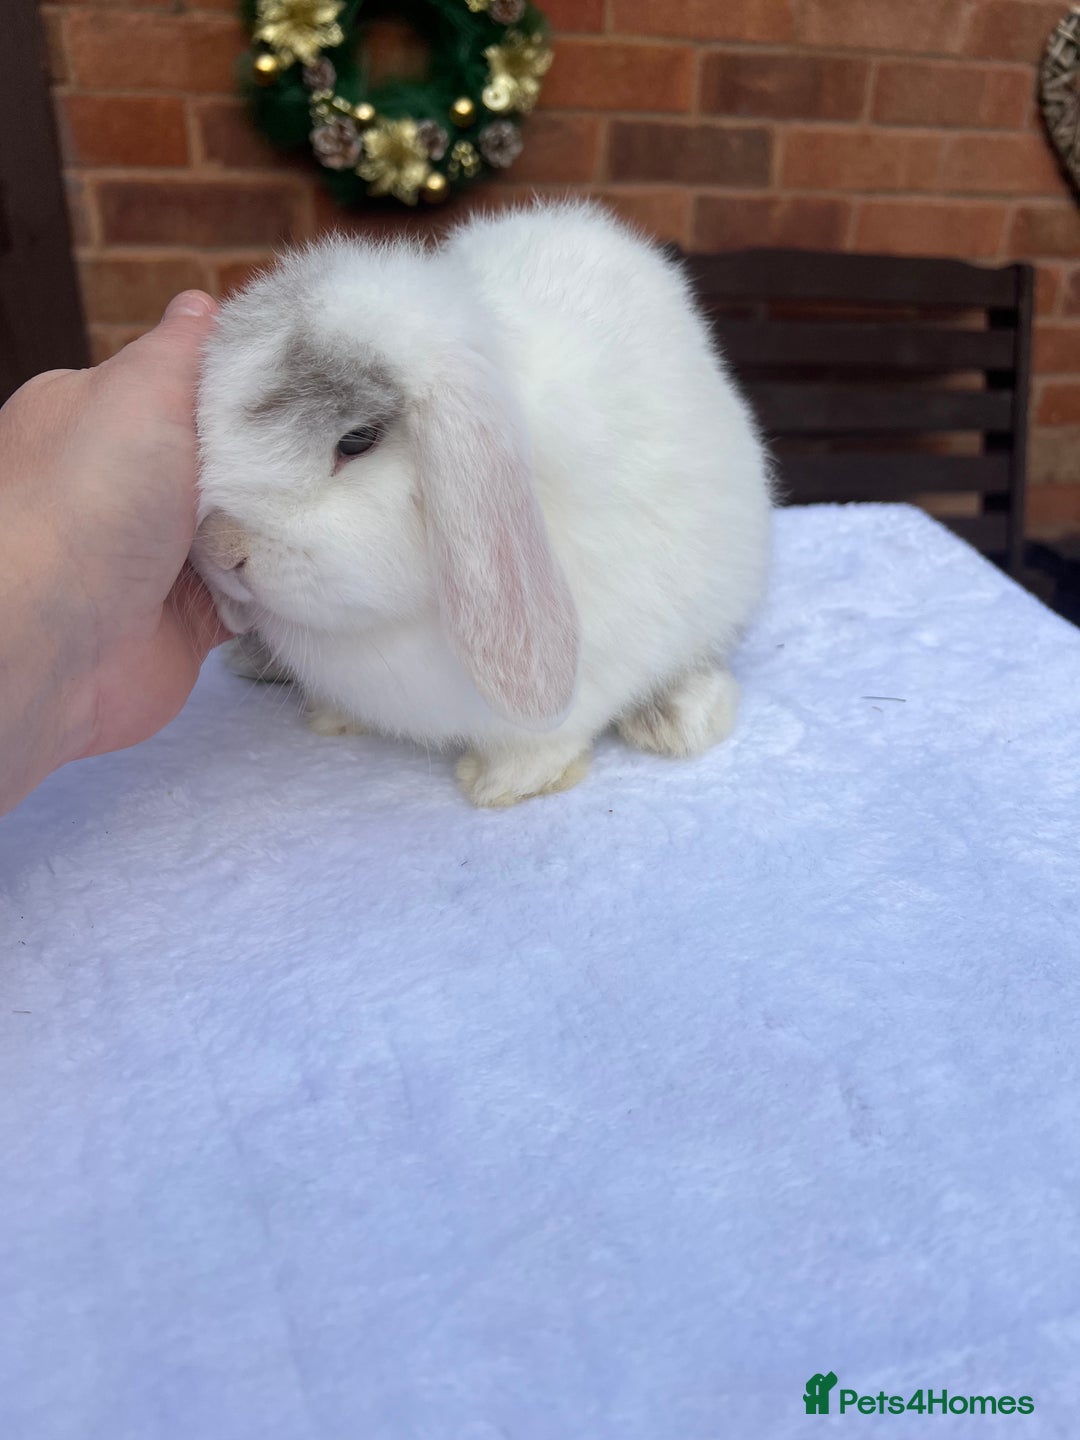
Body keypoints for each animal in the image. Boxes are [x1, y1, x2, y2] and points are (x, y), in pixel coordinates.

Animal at [193, 200, 773, 807]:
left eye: (357, 440)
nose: (218, 546)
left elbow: (545, 739)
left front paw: (501, 784)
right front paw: (333, 716)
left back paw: (679, 719)